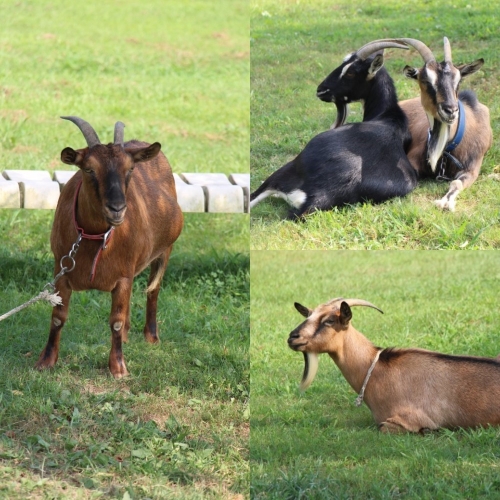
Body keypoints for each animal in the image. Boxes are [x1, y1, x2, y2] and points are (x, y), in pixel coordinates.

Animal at [35, 115, 184, 376]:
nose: (117, 208)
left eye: (130, 169)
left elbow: (115, 320)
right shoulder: (61, 270)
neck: (95, 237)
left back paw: (151, 336)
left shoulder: (123, 275)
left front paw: (118, 368)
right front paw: (46, 360)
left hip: (165, 251)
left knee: (153, 290)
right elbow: (58, 317)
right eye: (89, 169)